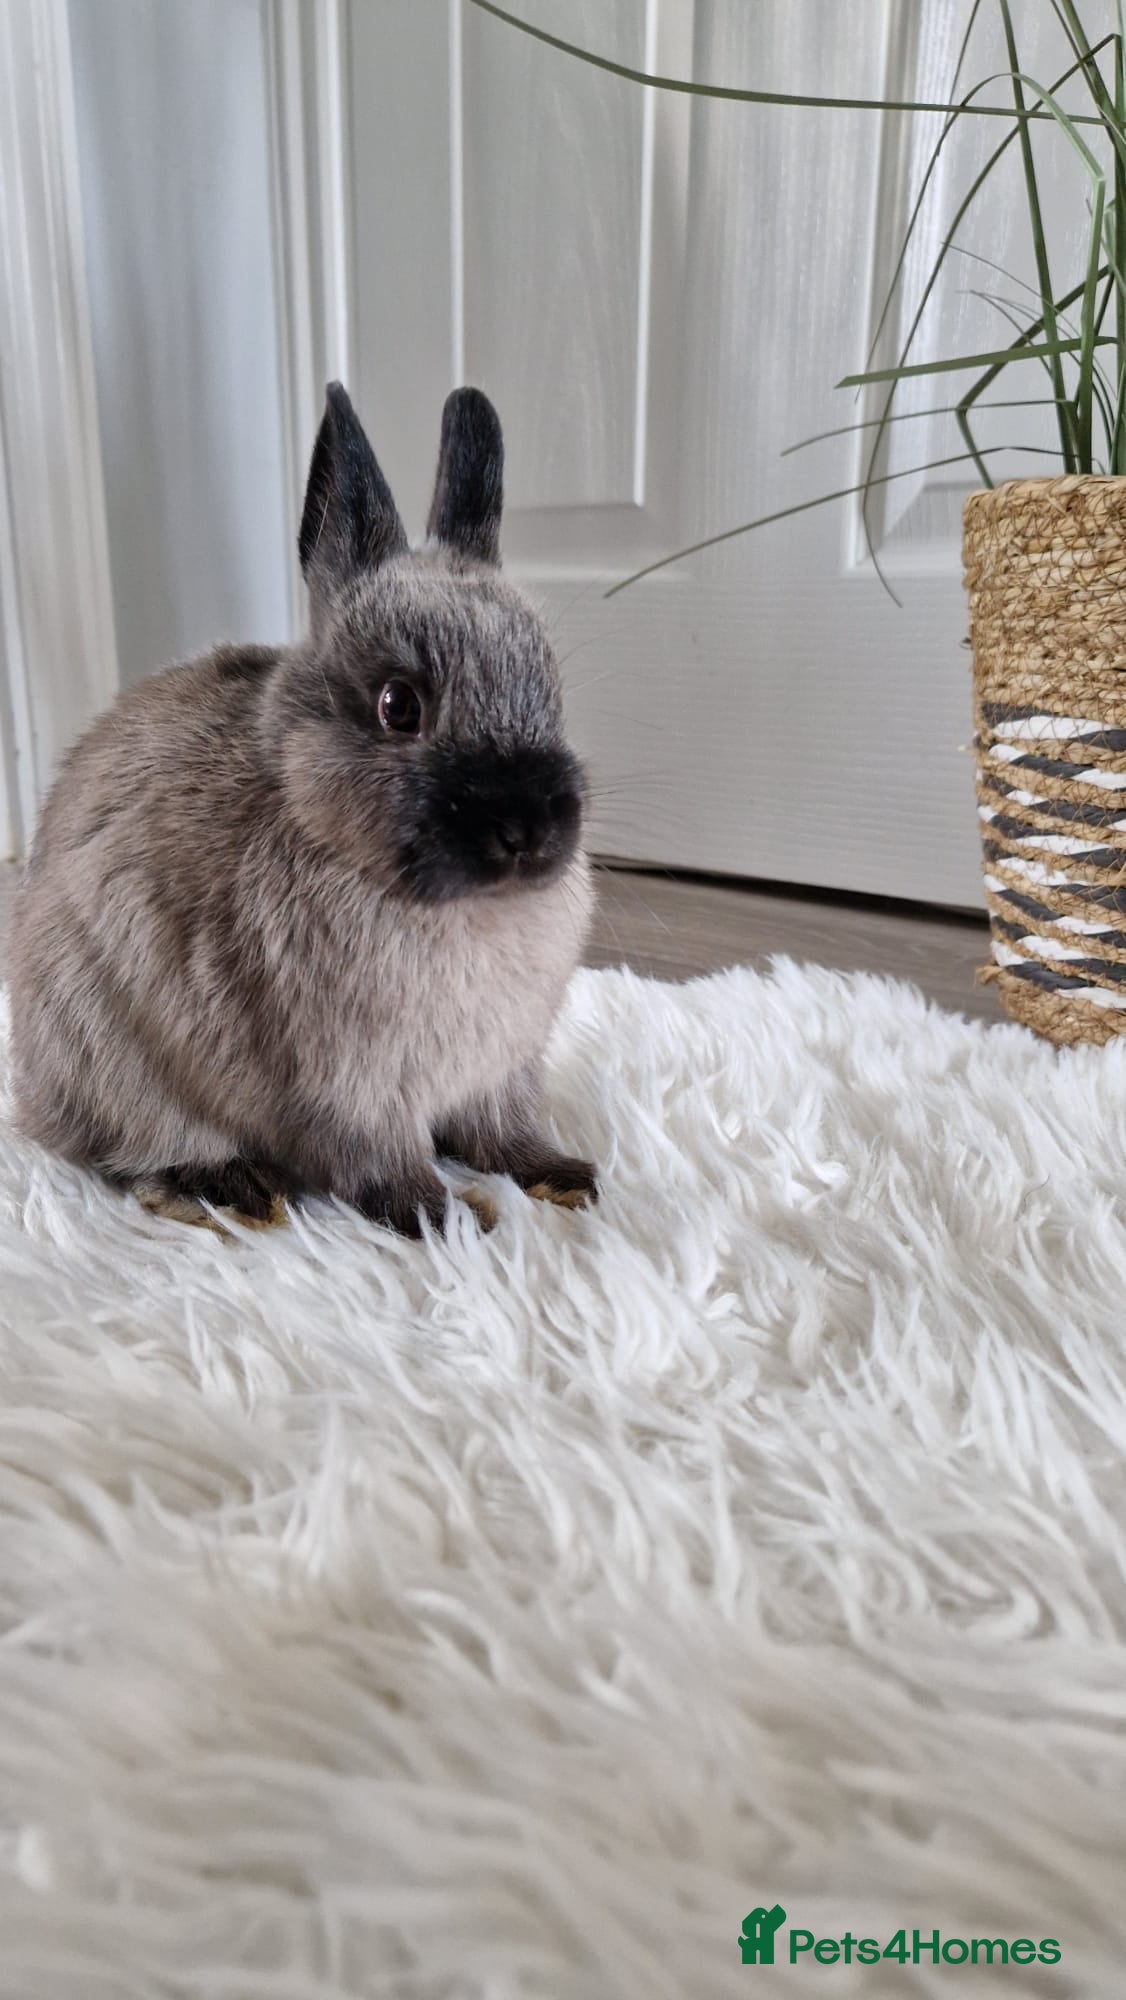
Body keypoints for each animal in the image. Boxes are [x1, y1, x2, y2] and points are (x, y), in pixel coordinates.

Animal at [8, 382, 598, 1236]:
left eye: (551, 687)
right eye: (397, 705)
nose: (530, 831)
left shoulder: (500, 1073)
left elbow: (503, 1132)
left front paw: (559, 1176)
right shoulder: (348, 1090)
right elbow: (381, 1164)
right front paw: (450, 1218)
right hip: (107, 1053)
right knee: (134, 1152)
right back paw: (240, 1191)